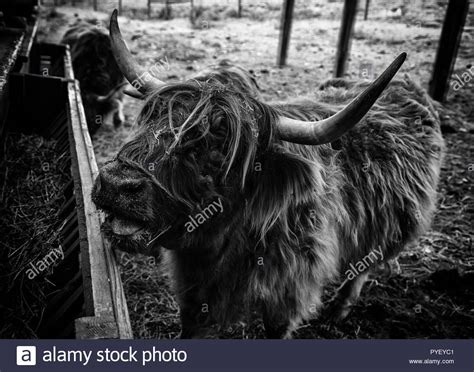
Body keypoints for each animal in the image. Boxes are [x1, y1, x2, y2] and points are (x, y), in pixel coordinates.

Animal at [92, 11, 444, 338]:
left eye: (218, 149)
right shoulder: (192, 286)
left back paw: (339, 310)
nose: (115, 184)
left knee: (363, 267)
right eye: (150, 119)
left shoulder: (289, 293)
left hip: (393, 229)